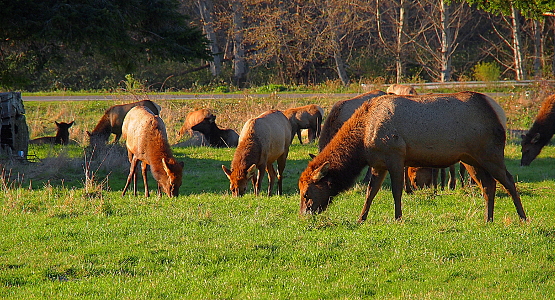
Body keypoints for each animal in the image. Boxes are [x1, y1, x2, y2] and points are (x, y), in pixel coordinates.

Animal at [302, 91, 528, 223]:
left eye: (306, 193)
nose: (304, 214)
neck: (362, 140)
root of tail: (498, 111)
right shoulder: (378, 163)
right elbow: (370, 192)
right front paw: (361, 218)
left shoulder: (395, 156)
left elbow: (396, 191)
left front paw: (398, 217)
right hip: (470, 158)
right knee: (488, 185)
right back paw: (488, 219)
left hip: (490, 152)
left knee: (508, 180)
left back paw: (523, 217)